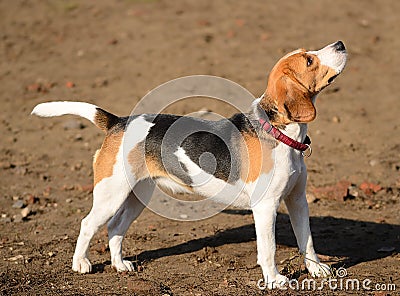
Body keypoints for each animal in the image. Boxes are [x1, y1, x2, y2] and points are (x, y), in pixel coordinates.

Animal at [32, 40, 346, 288]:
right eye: (309, 60)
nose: (341, 43)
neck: (278, 131)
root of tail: (118, 121)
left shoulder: (297, 200)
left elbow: (307, 239)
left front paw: (316, 269)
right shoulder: (266, 207)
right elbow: (267, 249)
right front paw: (274, 279)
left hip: (136, 197)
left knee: (114, 228)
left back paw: (120, 264)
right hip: (111, 194)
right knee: (87, 224)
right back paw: (81, 263)